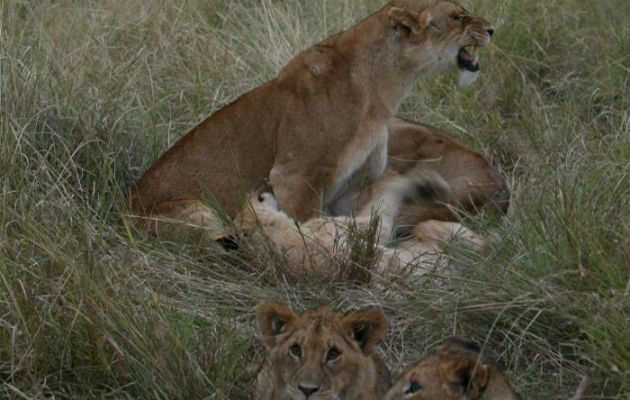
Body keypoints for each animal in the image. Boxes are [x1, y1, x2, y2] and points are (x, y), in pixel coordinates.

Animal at [130, 0, 494, 233]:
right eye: (457, 16)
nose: (492, 29)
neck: (383, 92)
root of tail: (125, 207)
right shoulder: (295, 177)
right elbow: (307, 227)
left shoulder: (356, 181)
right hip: (197, 212)